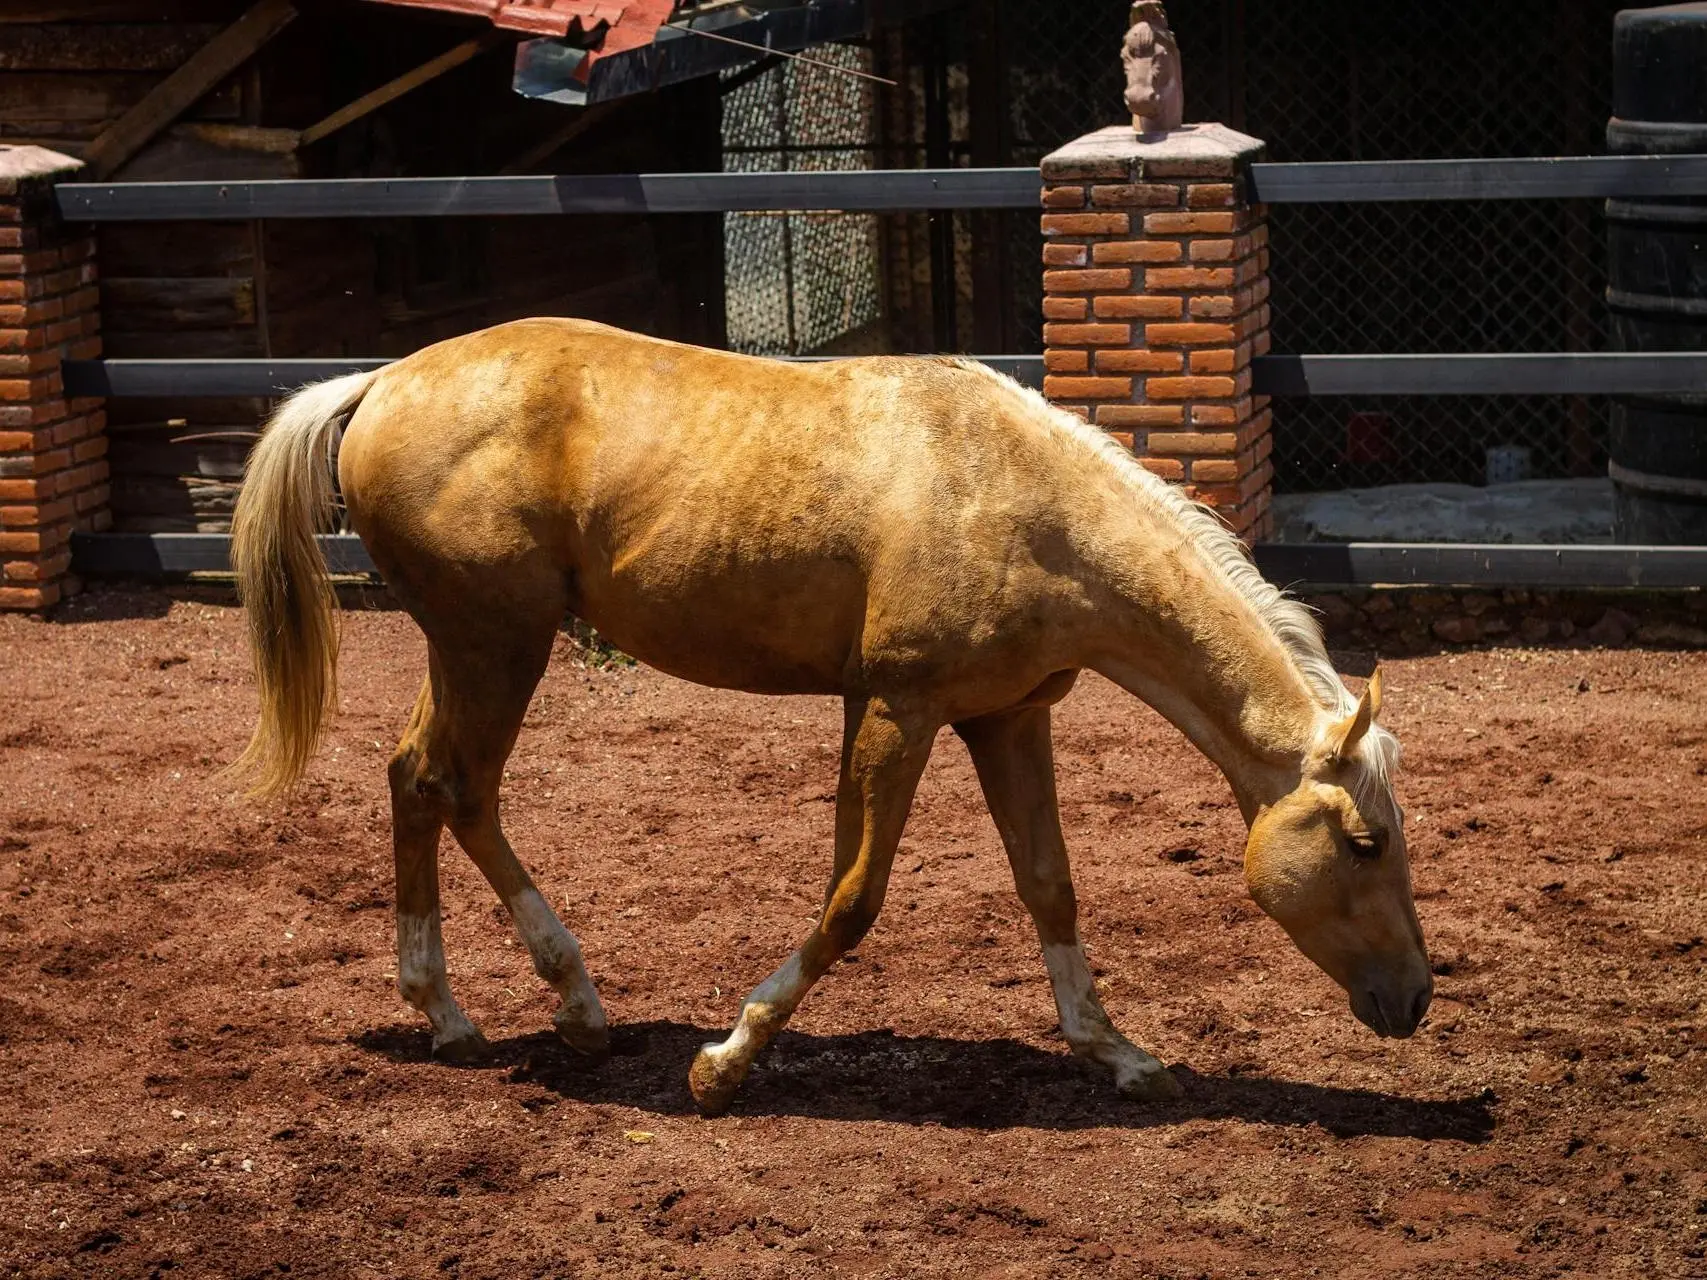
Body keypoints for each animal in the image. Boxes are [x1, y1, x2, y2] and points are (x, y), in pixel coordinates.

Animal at [227, 319, 1427, 1112]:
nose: (1416, 998)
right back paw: (538, 1002)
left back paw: (479, 1013)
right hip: (496, 644)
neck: (1022, 501)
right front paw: (726, 1059)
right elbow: (854, 898)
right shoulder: (897, 708)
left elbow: (1049, 884)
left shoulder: (1004, 719)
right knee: (454, 784)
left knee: (420, 781)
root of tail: (383, 381)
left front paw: (1116, 1051)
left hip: (473, 646)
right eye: (1366, 842)